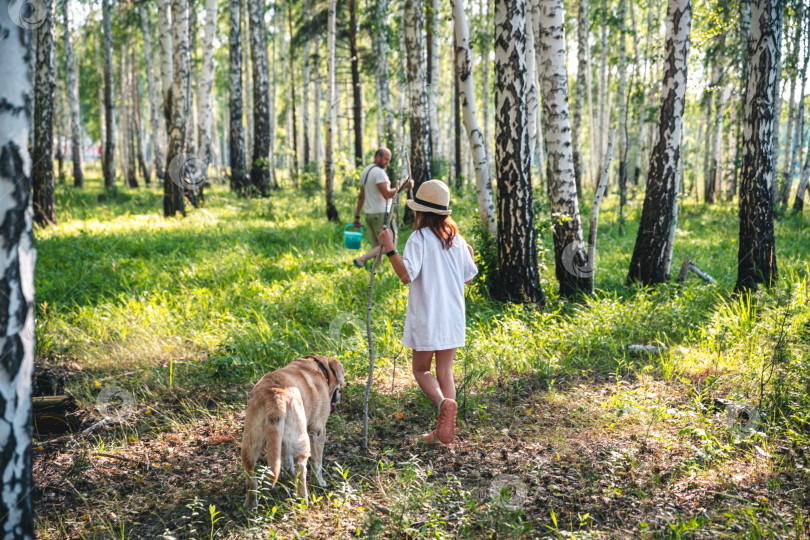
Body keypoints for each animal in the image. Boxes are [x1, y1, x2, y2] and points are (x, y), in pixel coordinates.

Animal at [238, 354, 342, 510]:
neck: (319, 368)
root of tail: (274, 395)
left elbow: (286, 460)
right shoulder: (318, 431)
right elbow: (317, 463)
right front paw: (319, 482)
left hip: (252, 442)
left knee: (252, 473)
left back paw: (250, 505)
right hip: (302, 441)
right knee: (302, 471)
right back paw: (303, 500)